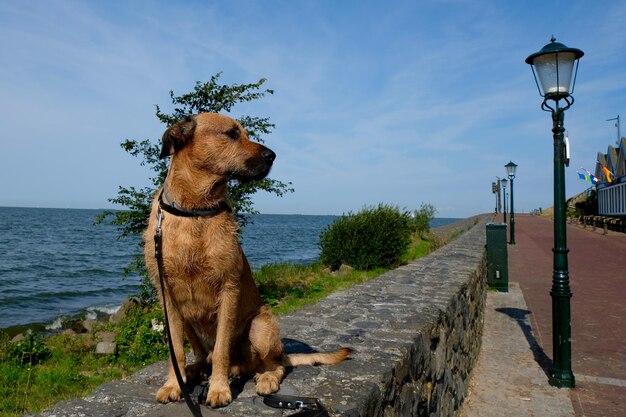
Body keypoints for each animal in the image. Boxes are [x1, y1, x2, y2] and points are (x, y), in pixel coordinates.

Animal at [143, 111, 352, 406]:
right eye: (231, 134)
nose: (272, 155)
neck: (195, 210)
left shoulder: (228, 288)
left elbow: (222, 348)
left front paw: (219, 389)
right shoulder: (168, 297)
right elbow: (177, 352)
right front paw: (174, 384)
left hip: (261, 328)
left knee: (274, 366)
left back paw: (263, 379)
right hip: (190, 324)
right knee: (203, 357)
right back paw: (196, 371)